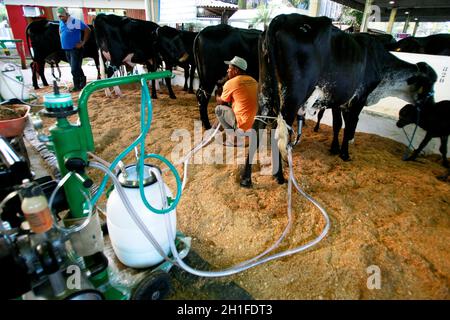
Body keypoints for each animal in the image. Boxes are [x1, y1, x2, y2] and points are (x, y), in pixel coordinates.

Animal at [241, 14, 438, 188]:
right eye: (430, 84)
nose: (432, 106)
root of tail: (282, 18)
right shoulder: (358, 99)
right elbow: (350, 126)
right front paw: (345, 153)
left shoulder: (338, 101)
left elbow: (337, 125)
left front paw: (334, 148)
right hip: (291, 98)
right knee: (281, 135)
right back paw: (280, 176)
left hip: (265, 93)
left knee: (258, 127)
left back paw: (246, 179)